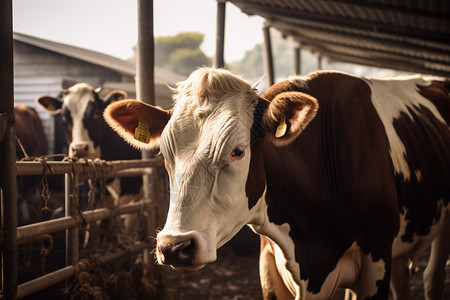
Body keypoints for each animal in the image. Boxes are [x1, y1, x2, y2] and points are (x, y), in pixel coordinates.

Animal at [103, 68, 450, 300]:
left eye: (237, 151)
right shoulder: (270, 268)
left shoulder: (375, 264)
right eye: (165, 153)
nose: (174, 247)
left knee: (432, 277)